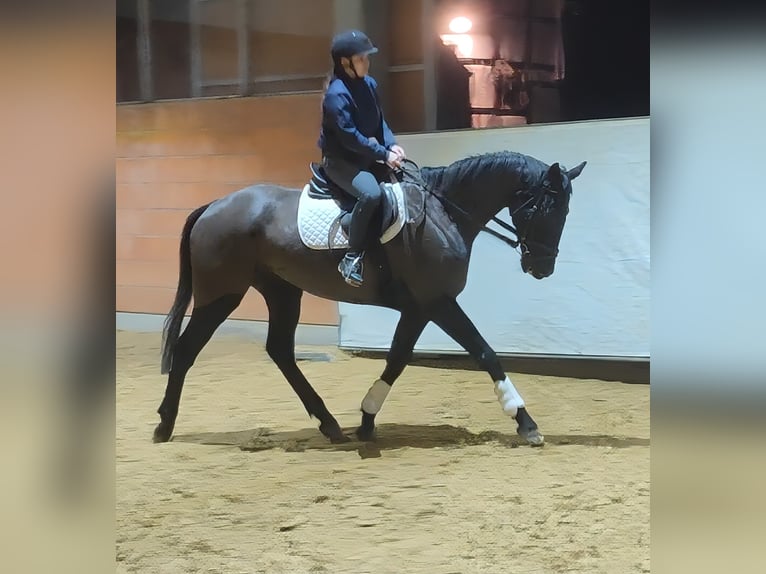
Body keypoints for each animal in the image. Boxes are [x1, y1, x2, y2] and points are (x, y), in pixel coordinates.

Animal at [153, 150, 587, 448]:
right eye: (549, 206)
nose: (542, 267)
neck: (442, 214)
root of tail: (213, 206)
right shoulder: (438, 302)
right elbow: (485, 353)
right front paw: (525, 422)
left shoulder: (419, 309)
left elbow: (397, 359)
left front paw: (366, 419)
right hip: (221, 294)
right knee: (187, 349)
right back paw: (164, 425)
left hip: (282, 291)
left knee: (280, 351)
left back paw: (329, 424)